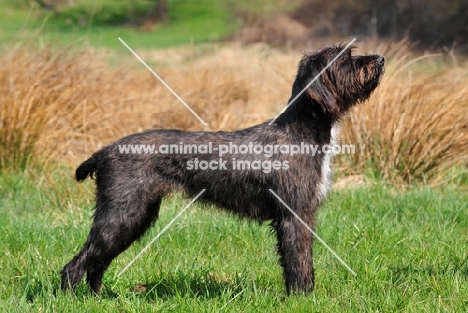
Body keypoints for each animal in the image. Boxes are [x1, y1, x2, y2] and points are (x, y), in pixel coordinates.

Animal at [60, 44, 386, 294]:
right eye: (344, 59)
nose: (381, 59)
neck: (301, 132)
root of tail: (106, 150)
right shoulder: (294, 214)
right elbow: (298, 260)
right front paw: (302, 297)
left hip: (134, 217)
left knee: (97, 262)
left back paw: (99, 297)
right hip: (122, 214)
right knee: (76, 264)